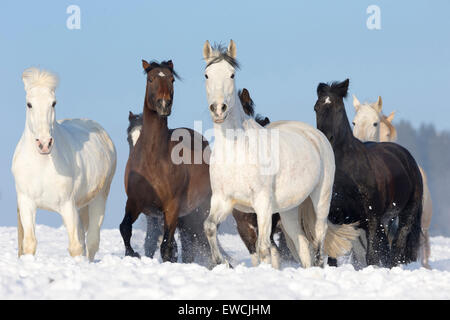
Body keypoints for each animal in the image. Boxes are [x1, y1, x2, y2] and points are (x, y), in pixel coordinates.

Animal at [11, 69, 116, 262]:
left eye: (53, 103)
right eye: (29, 104)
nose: (44, 144)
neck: (42, 165)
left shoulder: (67, 205)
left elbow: (75, 246)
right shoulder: (26, 203)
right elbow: (29, 244)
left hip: (99, 198)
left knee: (91, 241)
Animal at [119, 58, 213, 262]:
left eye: (172, 79)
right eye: (151, 79)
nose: (164, 105)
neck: (152, 160)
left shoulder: (171, 208)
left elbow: (166, 248)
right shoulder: (135, 203)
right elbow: (125, 229)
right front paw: (132, 254)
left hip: (198, 212)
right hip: (186, 218)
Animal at [202, 40, 356, 270]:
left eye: (231, 74)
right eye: (207, 74)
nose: (218, 109)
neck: (237, 151)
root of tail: (315, 135)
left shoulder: (263, 204)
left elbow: (264, 248)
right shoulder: (223, 200)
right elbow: (209, 227)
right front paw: (223, 263)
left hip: (321, 197)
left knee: (319, 237)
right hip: (289, 209)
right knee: (302, 242)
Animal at [314, 79, 424, 268]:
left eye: (338, 108)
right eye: (316, 108)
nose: (326, 138)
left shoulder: (371, 218)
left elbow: (371, 255)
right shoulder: (334, 217)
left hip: (406, 213)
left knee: (398, 245)